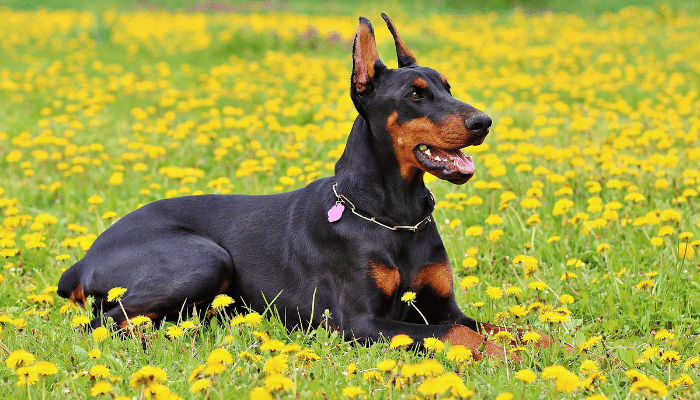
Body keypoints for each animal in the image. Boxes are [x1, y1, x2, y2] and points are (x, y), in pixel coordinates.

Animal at [58, 14, 552, 360]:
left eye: (448, 87)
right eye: (415, 94)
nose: (483, 122)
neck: (394, 215)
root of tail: (83, 259)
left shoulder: (442, 306)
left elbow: (510, 328)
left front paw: (557, 349)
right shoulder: (362, 323)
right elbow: (458, 334)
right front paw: (509, 359)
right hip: (204, 259)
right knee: (101, 323)